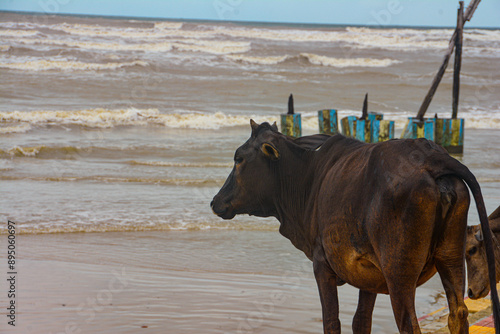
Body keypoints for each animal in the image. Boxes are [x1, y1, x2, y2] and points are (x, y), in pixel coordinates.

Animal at [211, 120, 500, 334]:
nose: (215, 201)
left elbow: (332, 322)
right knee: (458, 313)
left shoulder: (322, 265)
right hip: (451, 257)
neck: (308, 178)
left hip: (399, 273)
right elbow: (361, 322)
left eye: (239, 158)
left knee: (408, 323)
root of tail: (433, 155)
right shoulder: (369, 275)